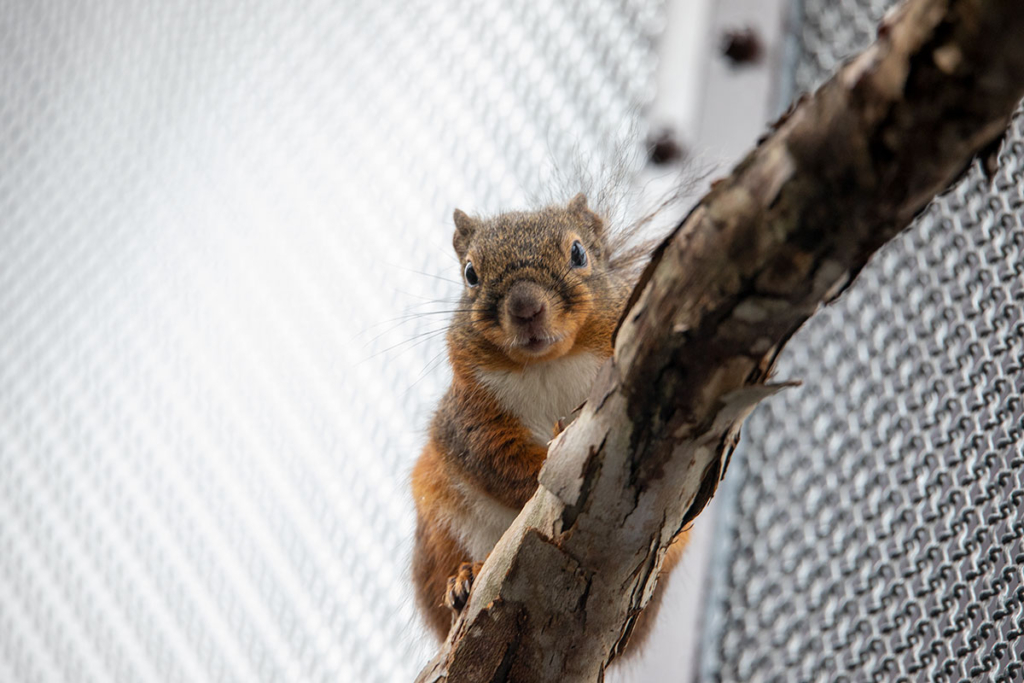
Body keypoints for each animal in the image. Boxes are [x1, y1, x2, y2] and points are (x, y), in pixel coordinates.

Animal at [407, 191, 688, 655]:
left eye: (578, 253)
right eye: (470, 274)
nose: (526, 308)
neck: (547, 365)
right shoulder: (470, 422)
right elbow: (501, 463)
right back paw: (464, 578)